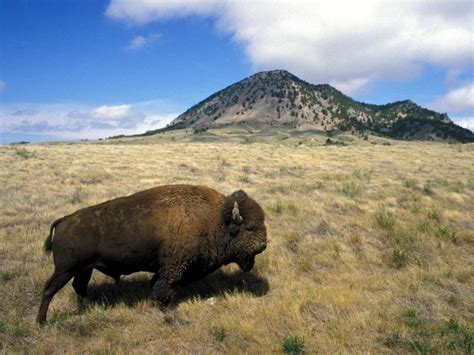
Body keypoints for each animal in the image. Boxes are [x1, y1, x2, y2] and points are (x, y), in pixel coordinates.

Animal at [37, 186, 266, 326]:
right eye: (250, 228)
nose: (263, 245)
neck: (217, 220)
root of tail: (64, 219)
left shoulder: (166, 269)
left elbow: (157, 284)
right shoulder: (174, 268)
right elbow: (165, 289)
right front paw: (169, 310)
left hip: (84, 269)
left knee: (79, 287)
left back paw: (91, 307)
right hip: (65, 270)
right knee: (49, 289)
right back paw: (42, 321)